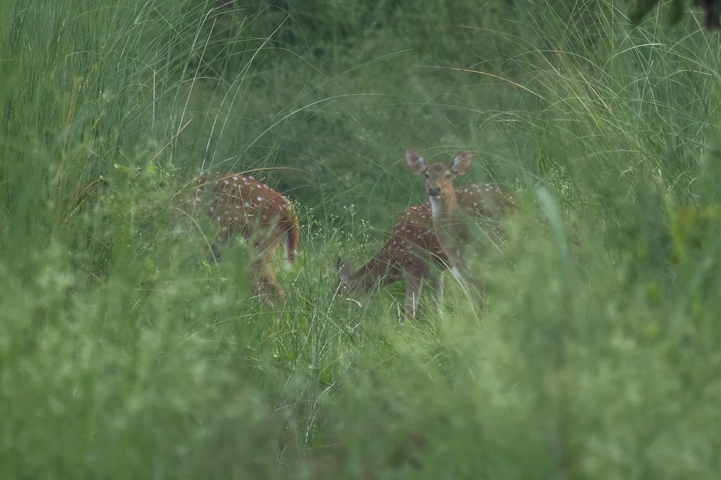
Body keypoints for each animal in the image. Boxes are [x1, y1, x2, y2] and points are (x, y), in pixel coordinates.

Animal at [336, 183, 513, 318]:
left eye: (339, 290)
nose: (337, 313)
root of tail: (508, 200)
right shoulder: (436, 270)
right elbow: (437, 306)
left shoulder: (413, 265)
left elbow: (410, 310)